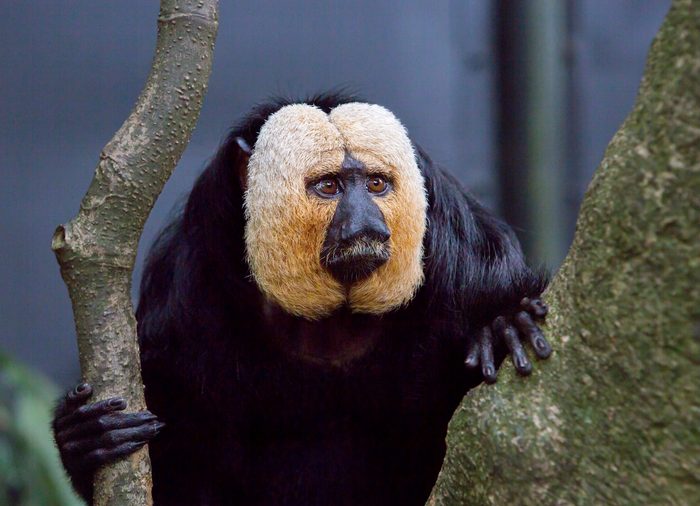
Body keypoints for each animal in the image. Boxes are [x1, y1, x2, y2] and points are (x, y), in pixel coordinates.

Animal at [53, 92, 551, 505]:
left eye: (376, 184)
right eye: (329, 186)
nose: (367, 224)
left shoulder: (460, 247)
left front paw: (505, 323)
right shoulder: (187, 295)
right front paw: (83, 438)